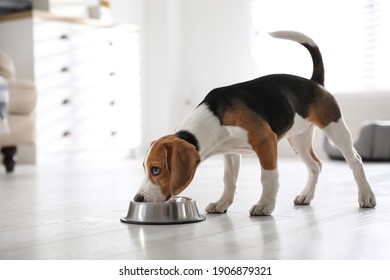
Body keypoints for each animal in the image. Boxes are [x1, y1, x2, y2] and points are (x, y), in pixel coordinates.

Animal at [134, 30, 374, 215]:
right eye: (146, 168)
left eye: (156, 170)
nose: (138, 199)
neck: (215, 116)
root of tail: (314, 82)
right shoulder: (231, 152)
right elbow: (229, 180)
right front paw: (222, 203)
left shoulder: (266, 142)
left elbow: (268, 178)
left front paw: (264, 205)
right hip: (298, 140)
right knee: (315, 165)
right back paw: (306, 196)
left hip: (335, 128)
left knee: (356, 162)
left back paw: (366, 196)